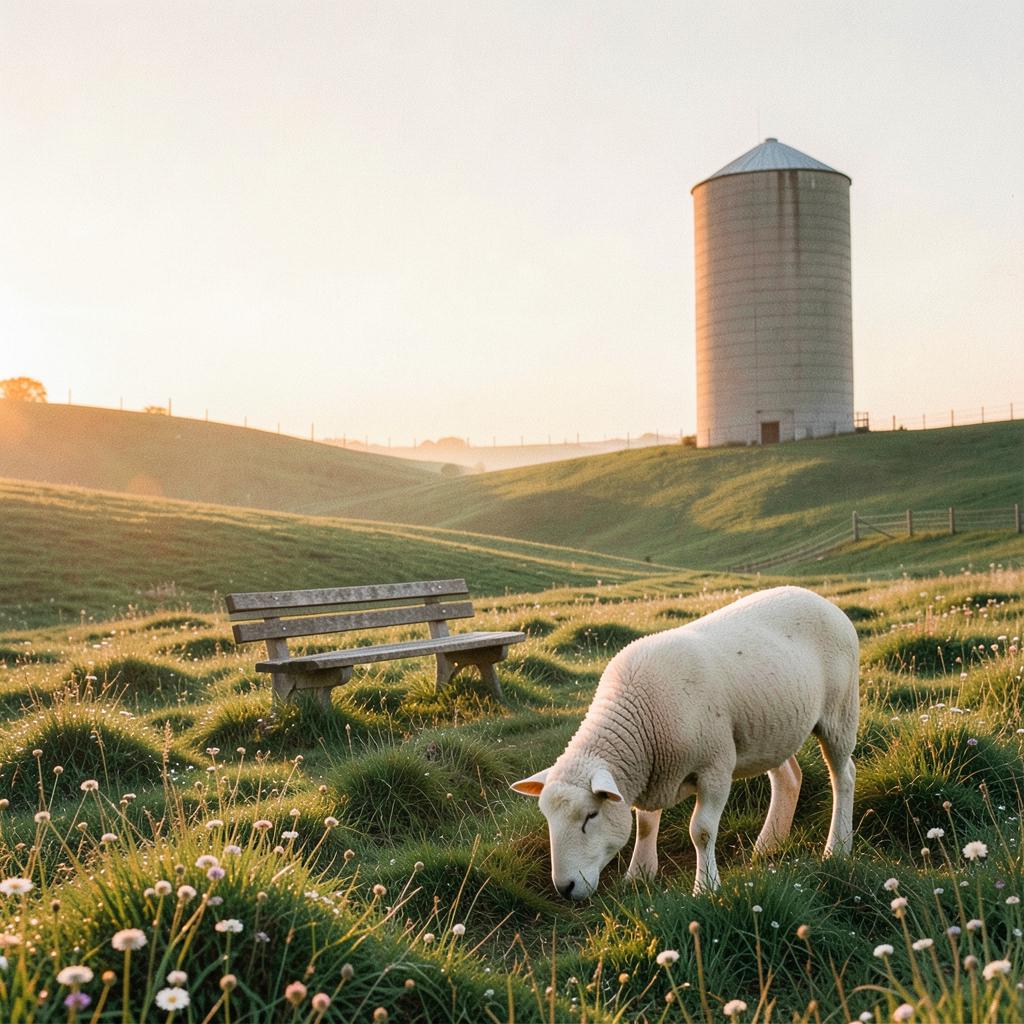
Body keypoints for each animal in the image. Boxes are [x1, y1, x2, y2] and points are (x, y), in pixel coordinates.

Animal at [511, 585, 859, 898]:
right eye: (547, 818)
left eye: (590, 816)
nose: (565, 888)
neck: (641, 719)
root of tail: (819, 598)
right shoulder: (652, 771)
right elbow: (646, 824)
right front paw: (639, 875)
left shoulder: (714, 766)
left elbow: (701, 831)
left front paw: (705, 887)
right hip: (770, 727)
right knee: (789, 777)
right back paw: (768, 845)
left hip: (840, 711)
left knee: (844, 775)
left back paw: (837, 848)